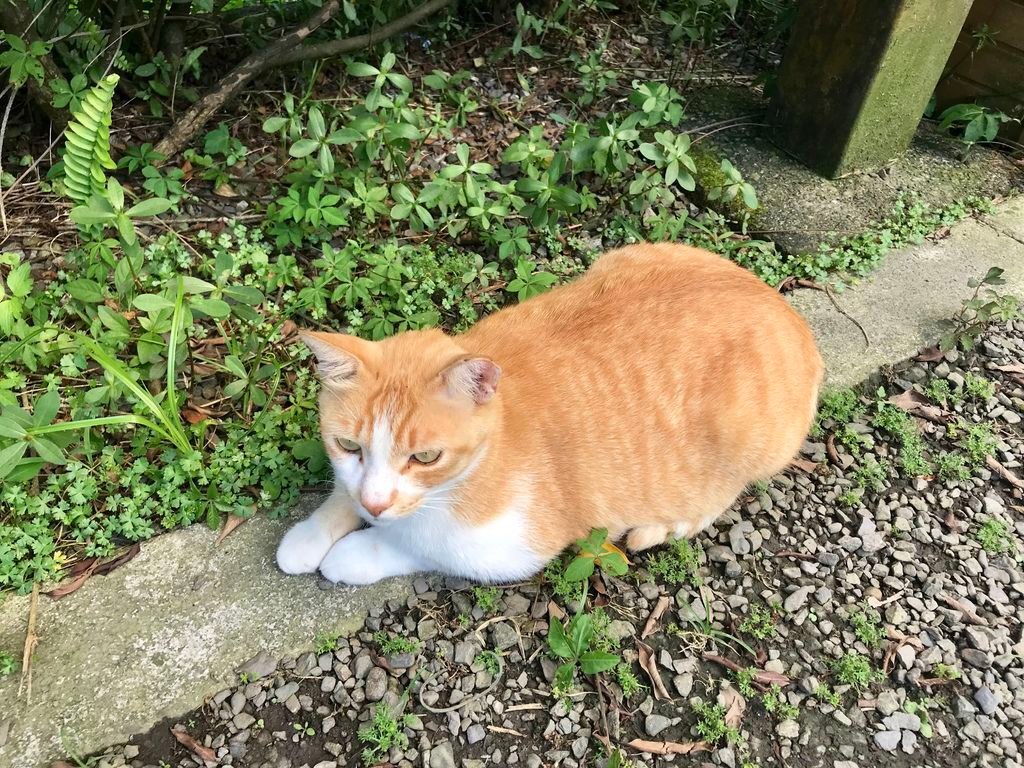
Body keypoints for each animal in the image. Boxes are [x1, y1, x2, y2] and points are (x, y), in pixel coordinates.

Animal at [278, 243, 823, 585]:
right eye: (349, 445)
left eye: (426, 457)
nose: (375, 505)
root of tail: (791, 314)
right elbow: (342, 493)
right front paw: (311, 534)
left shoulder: (512, 547)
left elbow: (423, 548)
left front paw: (356, 552)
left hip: (744, 439)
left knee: (723, 492)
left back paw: (663, 525)